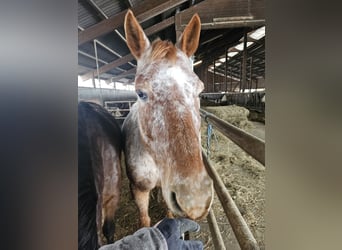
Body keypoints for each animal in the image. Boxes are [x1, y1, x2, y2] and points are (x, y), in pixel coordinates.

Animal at [123, 9, 214, 227]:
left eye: (200, 91)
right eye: (140, 93)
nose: (195, 199)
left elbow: (169, 213)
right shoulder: (140, 189)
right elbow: (145, 220)